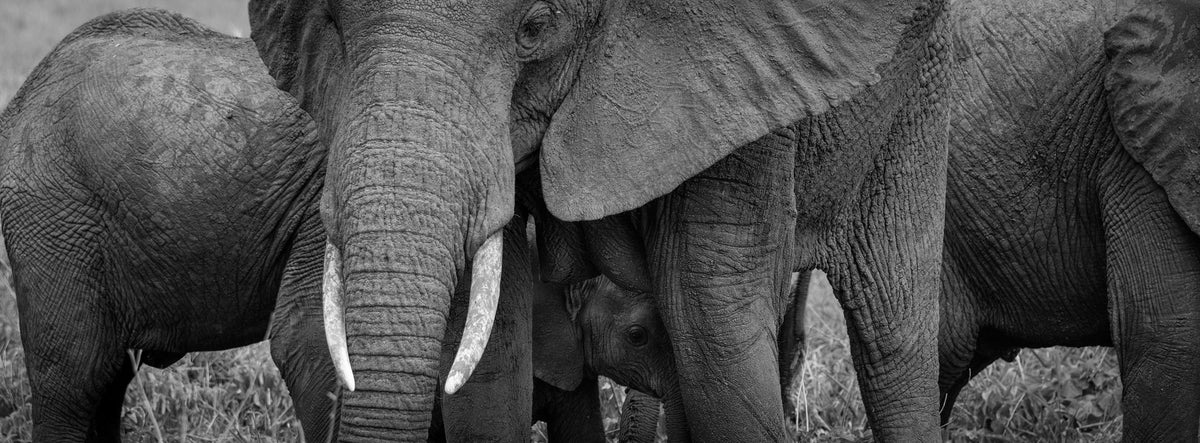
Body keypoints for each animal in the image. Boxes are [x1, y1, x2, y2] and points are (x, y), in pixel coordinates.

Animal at [248, 0, 954, 439]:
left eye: (534, 27)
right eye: (331, 22)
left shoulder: (740, 78)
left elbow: (714, 325)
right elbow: (493, 345)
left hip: (918, 89)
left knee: (894, 334)